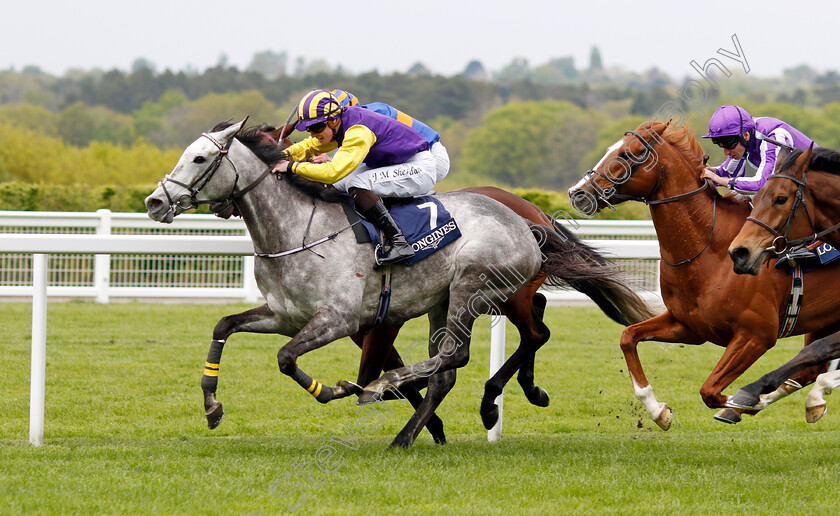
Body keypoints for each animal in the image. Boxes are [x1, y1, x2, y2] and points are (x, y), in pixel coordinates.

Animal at [146, 119, 656, 446]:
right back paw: (408, 434)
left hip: (473, 289)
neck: (297, 230)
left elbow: (289, 359)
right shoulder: (284, 316)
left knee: (461, 354)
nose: (154, 201)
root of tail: (527, 222)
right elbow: (224, 326)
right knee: (450, 368)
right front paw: (212, 406)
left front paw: (336, 390)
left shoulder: (341, 320)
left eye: (200, 158)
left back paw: (411, 399)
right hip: (444, 301)